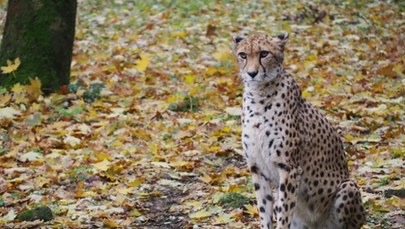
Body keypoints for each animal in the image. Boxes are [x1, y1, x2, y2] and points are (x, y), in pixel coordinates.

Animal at [232, 32, 364, 229]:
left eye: (264, 53)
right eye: (243, 55)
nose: (252, 73)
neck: (259, 95)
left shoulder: (289, 168)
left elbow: (284, 213)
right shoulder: (257, 169)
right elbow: (265, 210)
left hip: (348, 186)